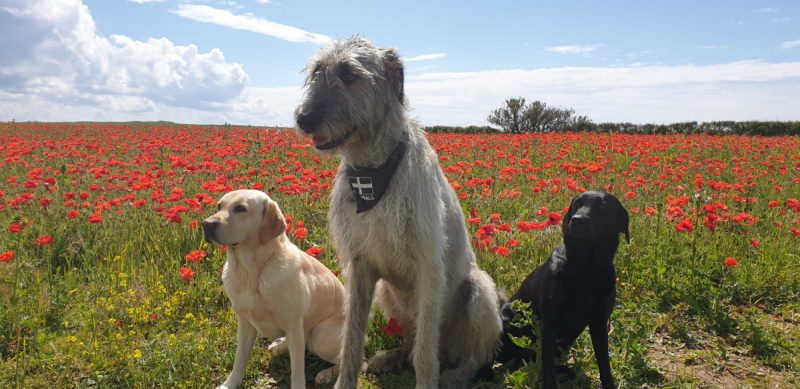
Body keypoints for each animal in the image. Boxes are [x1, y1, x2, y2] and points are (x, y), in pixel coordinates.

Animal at [296, 37, 504, 388]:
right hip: (387, 294)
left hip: (479, 292)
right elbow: (351, 336)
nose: (303, 118)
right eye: (317, 72)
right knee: (409, 343)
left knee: (474, 354)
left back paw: (456, 374)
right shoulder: (359, 265)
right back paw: (386, 358)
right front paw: (343, 376)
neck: (373, 172)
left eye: (349, 74)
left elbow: (425, 353)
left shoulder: (429, 266)